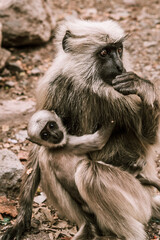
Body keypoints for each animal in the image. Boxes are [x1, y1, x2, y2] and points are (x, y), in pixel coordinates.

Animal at [2, 19, 160, 240]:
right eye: (104, 52)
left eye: (119, 50)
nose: (120, 66)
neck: (86, 84)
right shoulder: (56, 84)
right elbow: (37, 148)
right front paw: (21, 218)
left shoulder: (121, 92)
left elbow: (149, 140)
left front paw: (144, 87)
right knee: (46, 156)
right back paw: (88, 227)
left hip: (139, 199)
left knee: (89, 174)